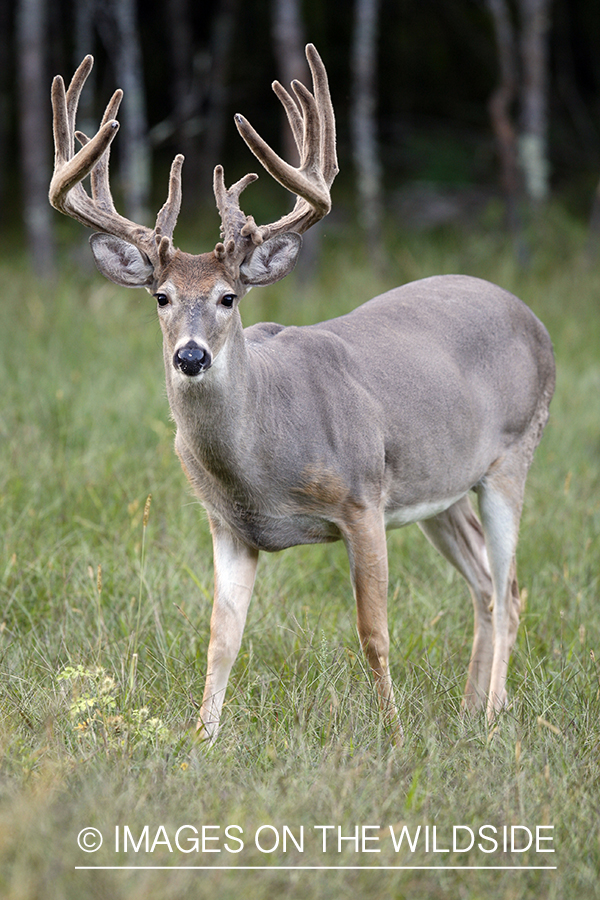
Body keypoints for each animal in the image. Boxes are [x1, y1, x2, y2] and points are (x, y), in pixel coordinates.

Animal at [49, 44, 556, 744]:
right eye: (161, 297)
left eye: (228, 298)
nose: (190, 356)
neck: (261, 460)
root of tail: (532, 318)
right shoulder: (227, 526)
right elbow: (221, 640)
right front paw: (200, 741)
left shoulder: (363, 497)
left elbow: (374, 633)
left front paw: (393, 732)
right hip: (443, 487)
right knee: (486, 582)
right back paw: (468, 709)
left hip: (515, 453)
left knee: (508, 587)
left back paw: (495, 712)